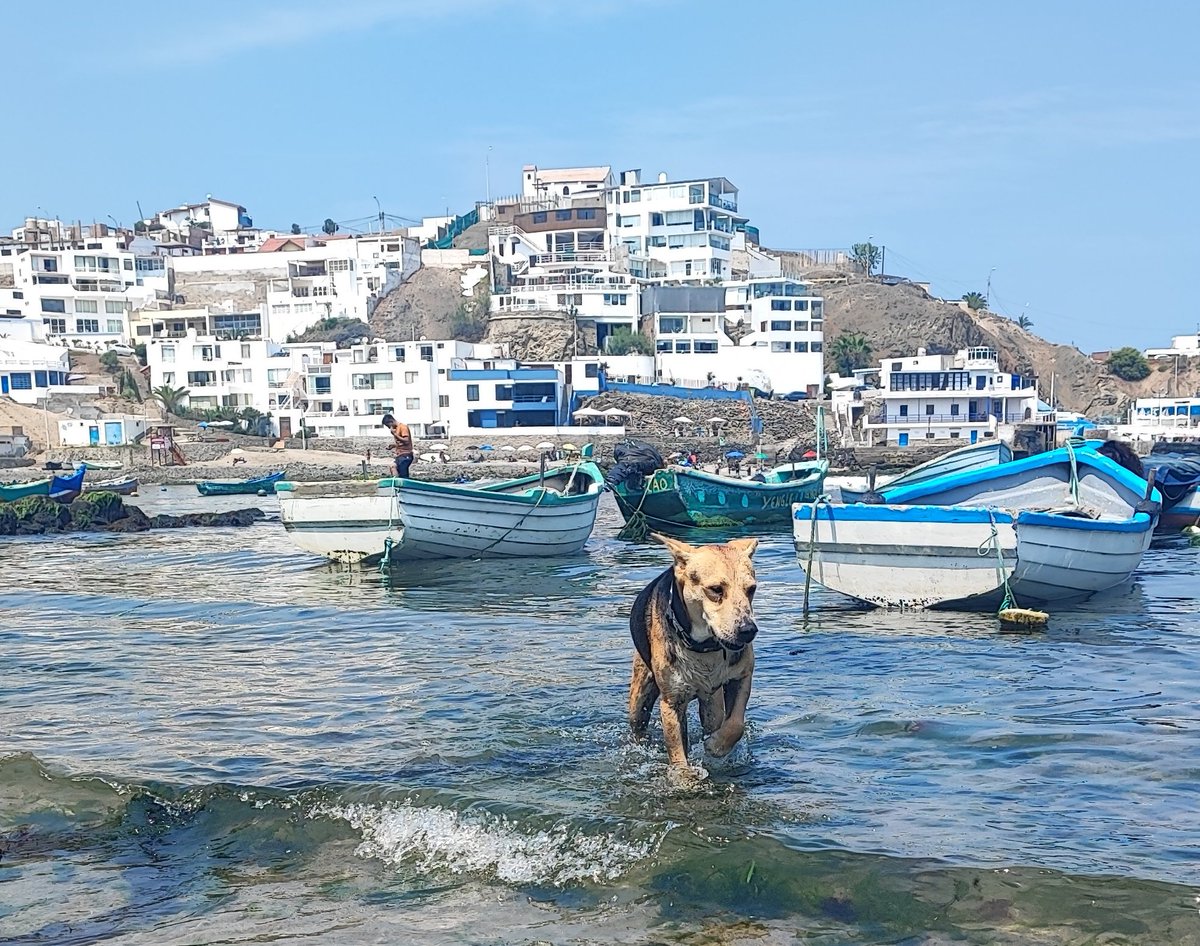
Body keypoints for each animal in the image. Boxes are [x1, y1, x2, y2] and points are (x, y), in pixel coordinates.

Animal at [628, 533, 758, 768]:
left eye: (751, 589)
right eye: (716, 589)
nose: (748, 630)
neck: (703, 647)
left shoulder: (742, 676)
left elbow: (736, 724)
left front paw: (716, 746)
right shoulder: (671, 701)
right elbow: (677, 749)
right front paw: (683, 773)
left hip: (711, 702)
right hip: (640, 692)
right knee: (638, 723)